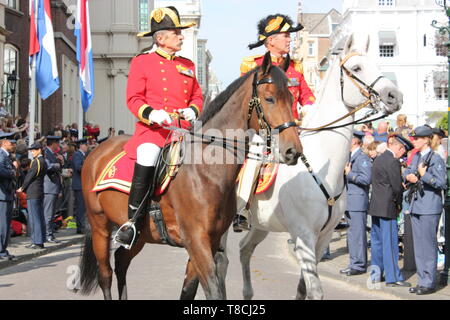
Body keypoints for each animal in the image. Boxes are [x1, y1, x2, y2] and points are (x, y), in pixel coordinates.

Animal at [78, 52, 302, 300]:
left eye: (291, 98)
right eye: (270, 98)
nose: (293, 151)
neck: (207, 170)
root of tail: (98, 149)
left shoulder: (210, 241)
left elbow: (189, 290)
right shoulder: (196, 240)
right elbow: (213, 290)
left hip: (141, 234)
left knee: (121, 261)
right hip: (100, 225)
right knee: (105, 274)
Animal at [216, 32, 402, 300]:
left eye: (377, 64)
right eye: (357, 68)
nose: (394, 96)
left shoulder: (322, 237)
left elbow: (303, 289)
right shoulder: (303, 236)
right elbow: (315, 290)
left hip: (261, 225)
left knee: (244, 249)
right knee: (220, 262)